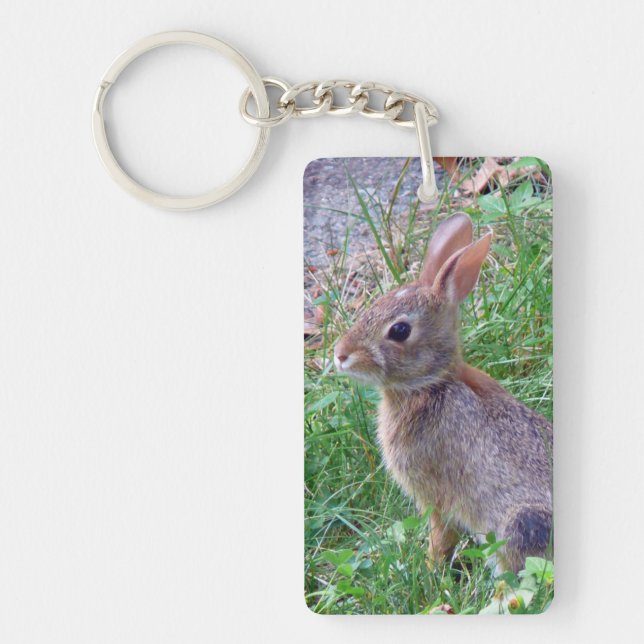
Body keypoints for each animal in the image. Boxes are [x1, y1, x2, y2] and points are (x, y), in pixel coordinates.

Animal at [333, 213, 552, 573]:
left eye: (400, 330)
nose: (340, 354)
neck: (431, 384)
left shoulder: (438, 496)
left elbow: (440, 535)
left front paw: (429, 568)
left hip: (522, 523)